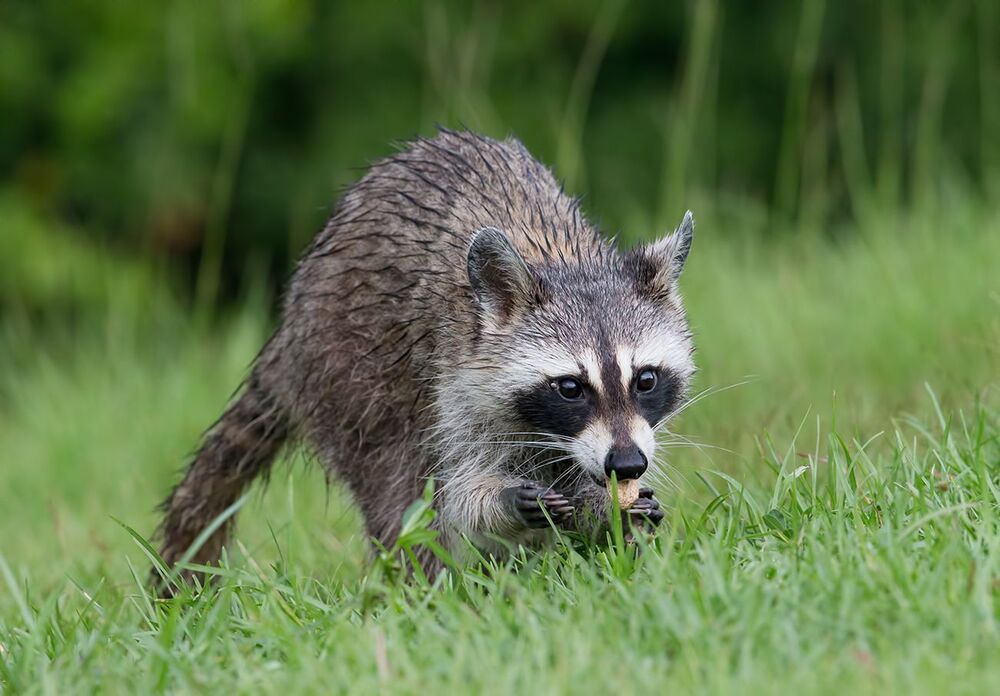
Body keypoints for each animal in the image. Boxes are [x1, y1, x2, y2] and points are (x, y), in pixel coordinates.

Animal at [155, 129, 696, 584]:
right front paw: (498, 502)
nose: (627, 464)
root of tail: (288, 334)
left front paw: (605, 511)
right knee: (399, 486)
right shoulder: (457, 381)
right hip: (351, 378)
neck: (568, 260)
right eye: (570, 387)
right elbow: (454, 495)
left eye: (645, 379)